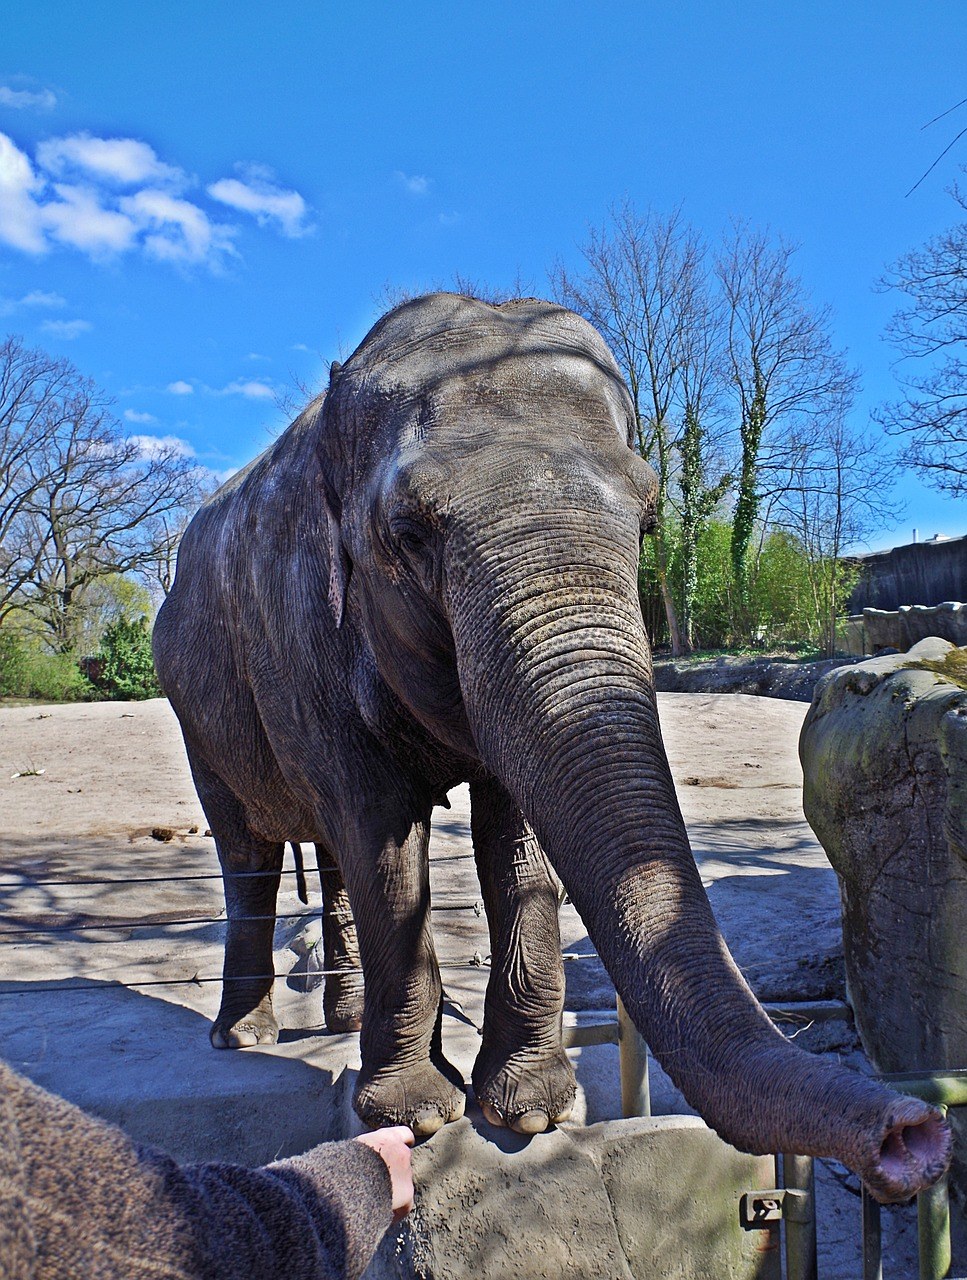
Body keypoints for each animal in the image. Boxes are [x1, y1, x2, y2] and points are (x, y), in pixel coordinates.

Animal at [153, 290, 952, 1198]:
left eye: (648, 519)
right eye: (410, 533)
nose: (913, 1136)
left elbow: (516, 837)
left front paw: (530, 1112)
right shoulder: (300, 634)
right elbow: (381, 836)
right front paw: (414, 1116)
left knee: (324, 850)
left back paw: (342, 1016)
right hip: (196, 708)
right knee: (249, 848)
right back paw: (241, 1036)